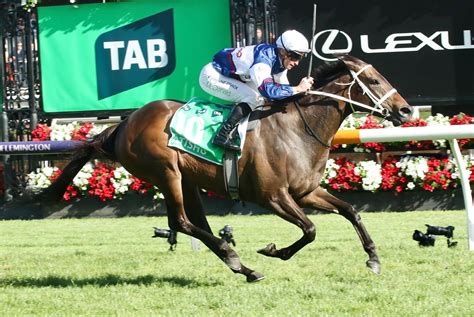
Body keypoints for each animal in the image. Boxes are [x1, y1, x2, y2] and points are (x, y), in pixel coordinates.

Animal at [39, 55, 412, 282]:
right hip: (166, 173)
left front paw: (373, 259)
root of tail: (125, 123)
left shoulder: (306, 191)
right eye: (374, 81)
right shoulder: (273, 196)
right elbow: (310, 230)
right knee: (181, 222)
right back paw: (236, 258)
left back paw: (240, 265)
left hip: (186, 178)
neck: (297, 129)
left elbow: (351, 212)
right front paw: (274, 251)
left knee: (196, 223)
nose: (407, 111)